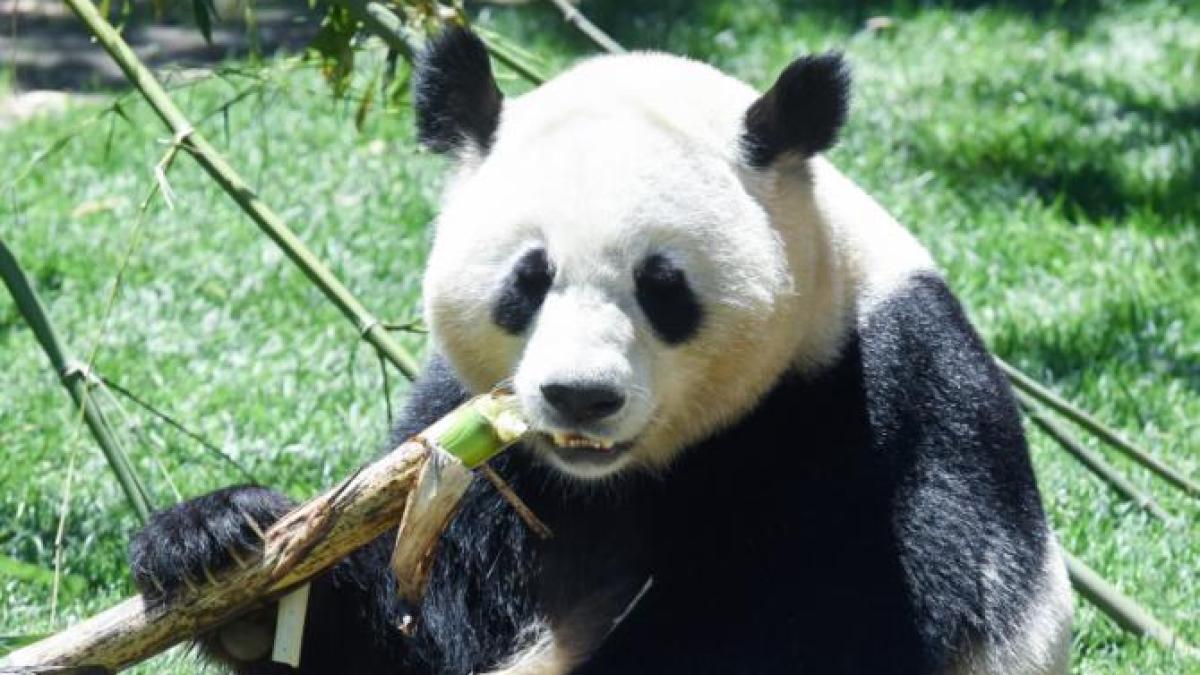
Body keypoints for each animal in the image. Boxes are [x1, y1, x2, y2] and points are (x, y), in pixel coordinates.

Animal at [129, 28, 1073, 675]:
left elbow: (824, 621)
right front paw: (218, 540)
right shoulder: (478, 453)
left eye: (663, 287)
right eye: (528, 278)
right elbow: (411, 626)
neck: (619, 477)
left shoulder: (874, 408)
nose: (579, 395)